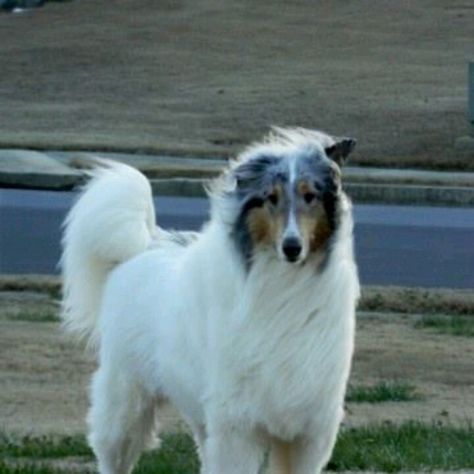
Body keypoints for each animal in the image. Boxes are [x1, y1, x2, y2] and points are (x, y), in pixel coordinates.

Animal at [62, 128, 360, 474]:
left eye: (310, 196)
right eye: (271, 198)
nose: (292, 247)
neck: (284, 282)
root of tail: (141, 247)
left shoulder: (307, 432)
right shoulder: (238, 426)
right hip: (126, 396)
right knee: (112, 453)